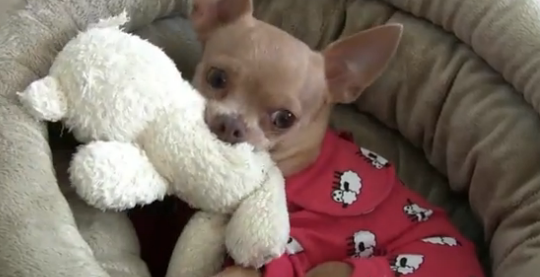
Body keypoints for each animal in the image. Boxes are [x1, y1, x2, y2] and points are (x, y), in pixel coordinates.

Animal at [188, 1, 484, 276]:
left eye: (284, 119)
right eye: (216, 77)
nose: (230, 125)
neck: (301, 166)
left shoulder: (297, 245)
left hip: (341, 268)